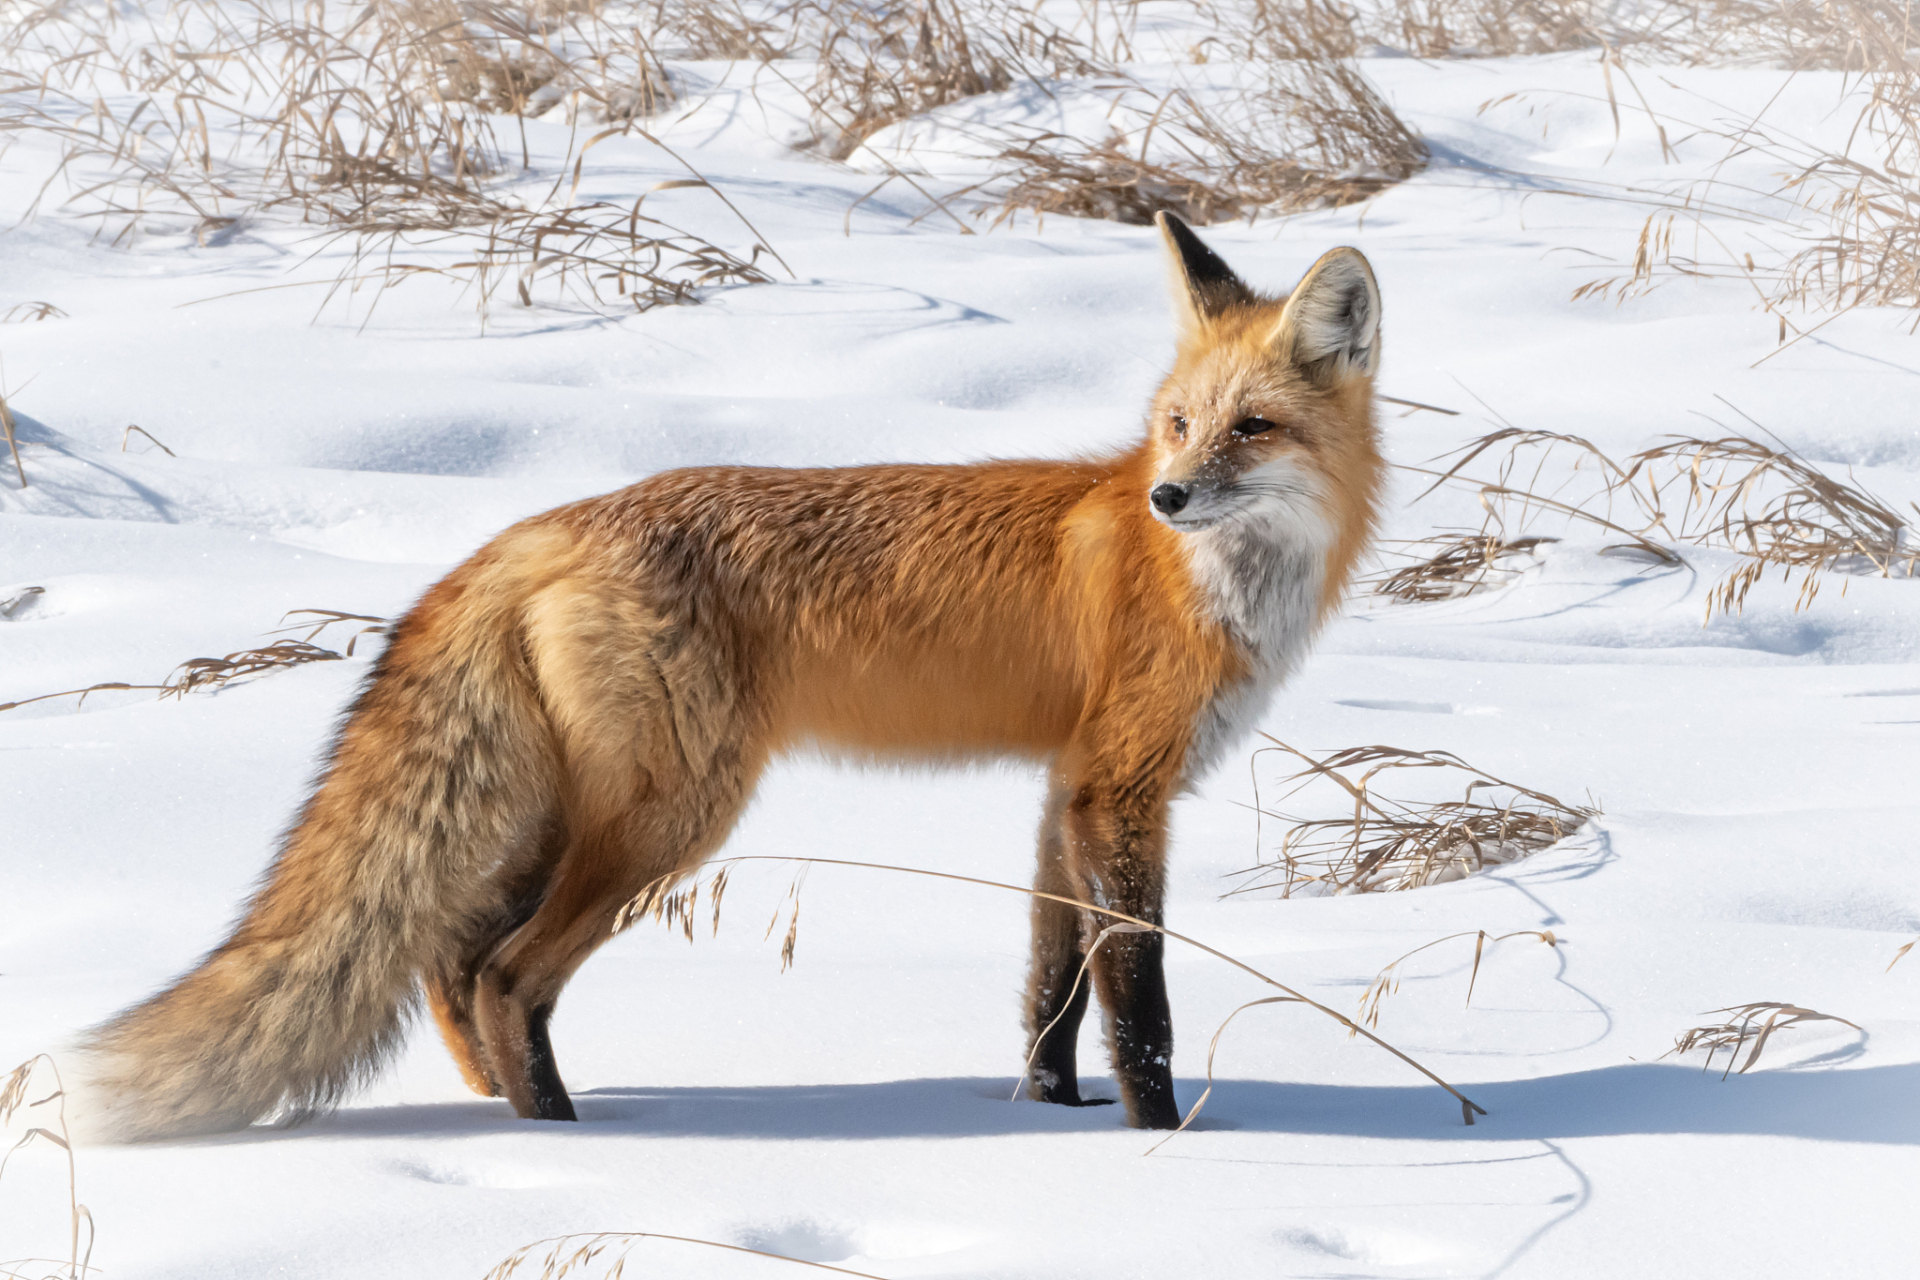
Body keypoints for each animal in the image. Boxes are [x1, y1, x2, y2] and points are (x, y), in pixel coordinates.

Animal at [71, 213, 1382, 1143]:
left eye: (1251, 427)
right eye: (1177, 422)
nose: (1167, 494)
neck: (1207, 579)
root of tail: (540, 526)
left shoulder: (1068, 784)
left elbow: (1051, 990)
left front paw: (1055, 1115)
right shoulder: (1120, 789)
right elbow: (1139, 997)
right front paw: (1170, 1143)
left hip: (561, 813)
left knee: (449, 958)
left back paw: (505, 1110)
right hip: (669, 815)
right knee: (504, 973)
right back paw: (563, 1137)